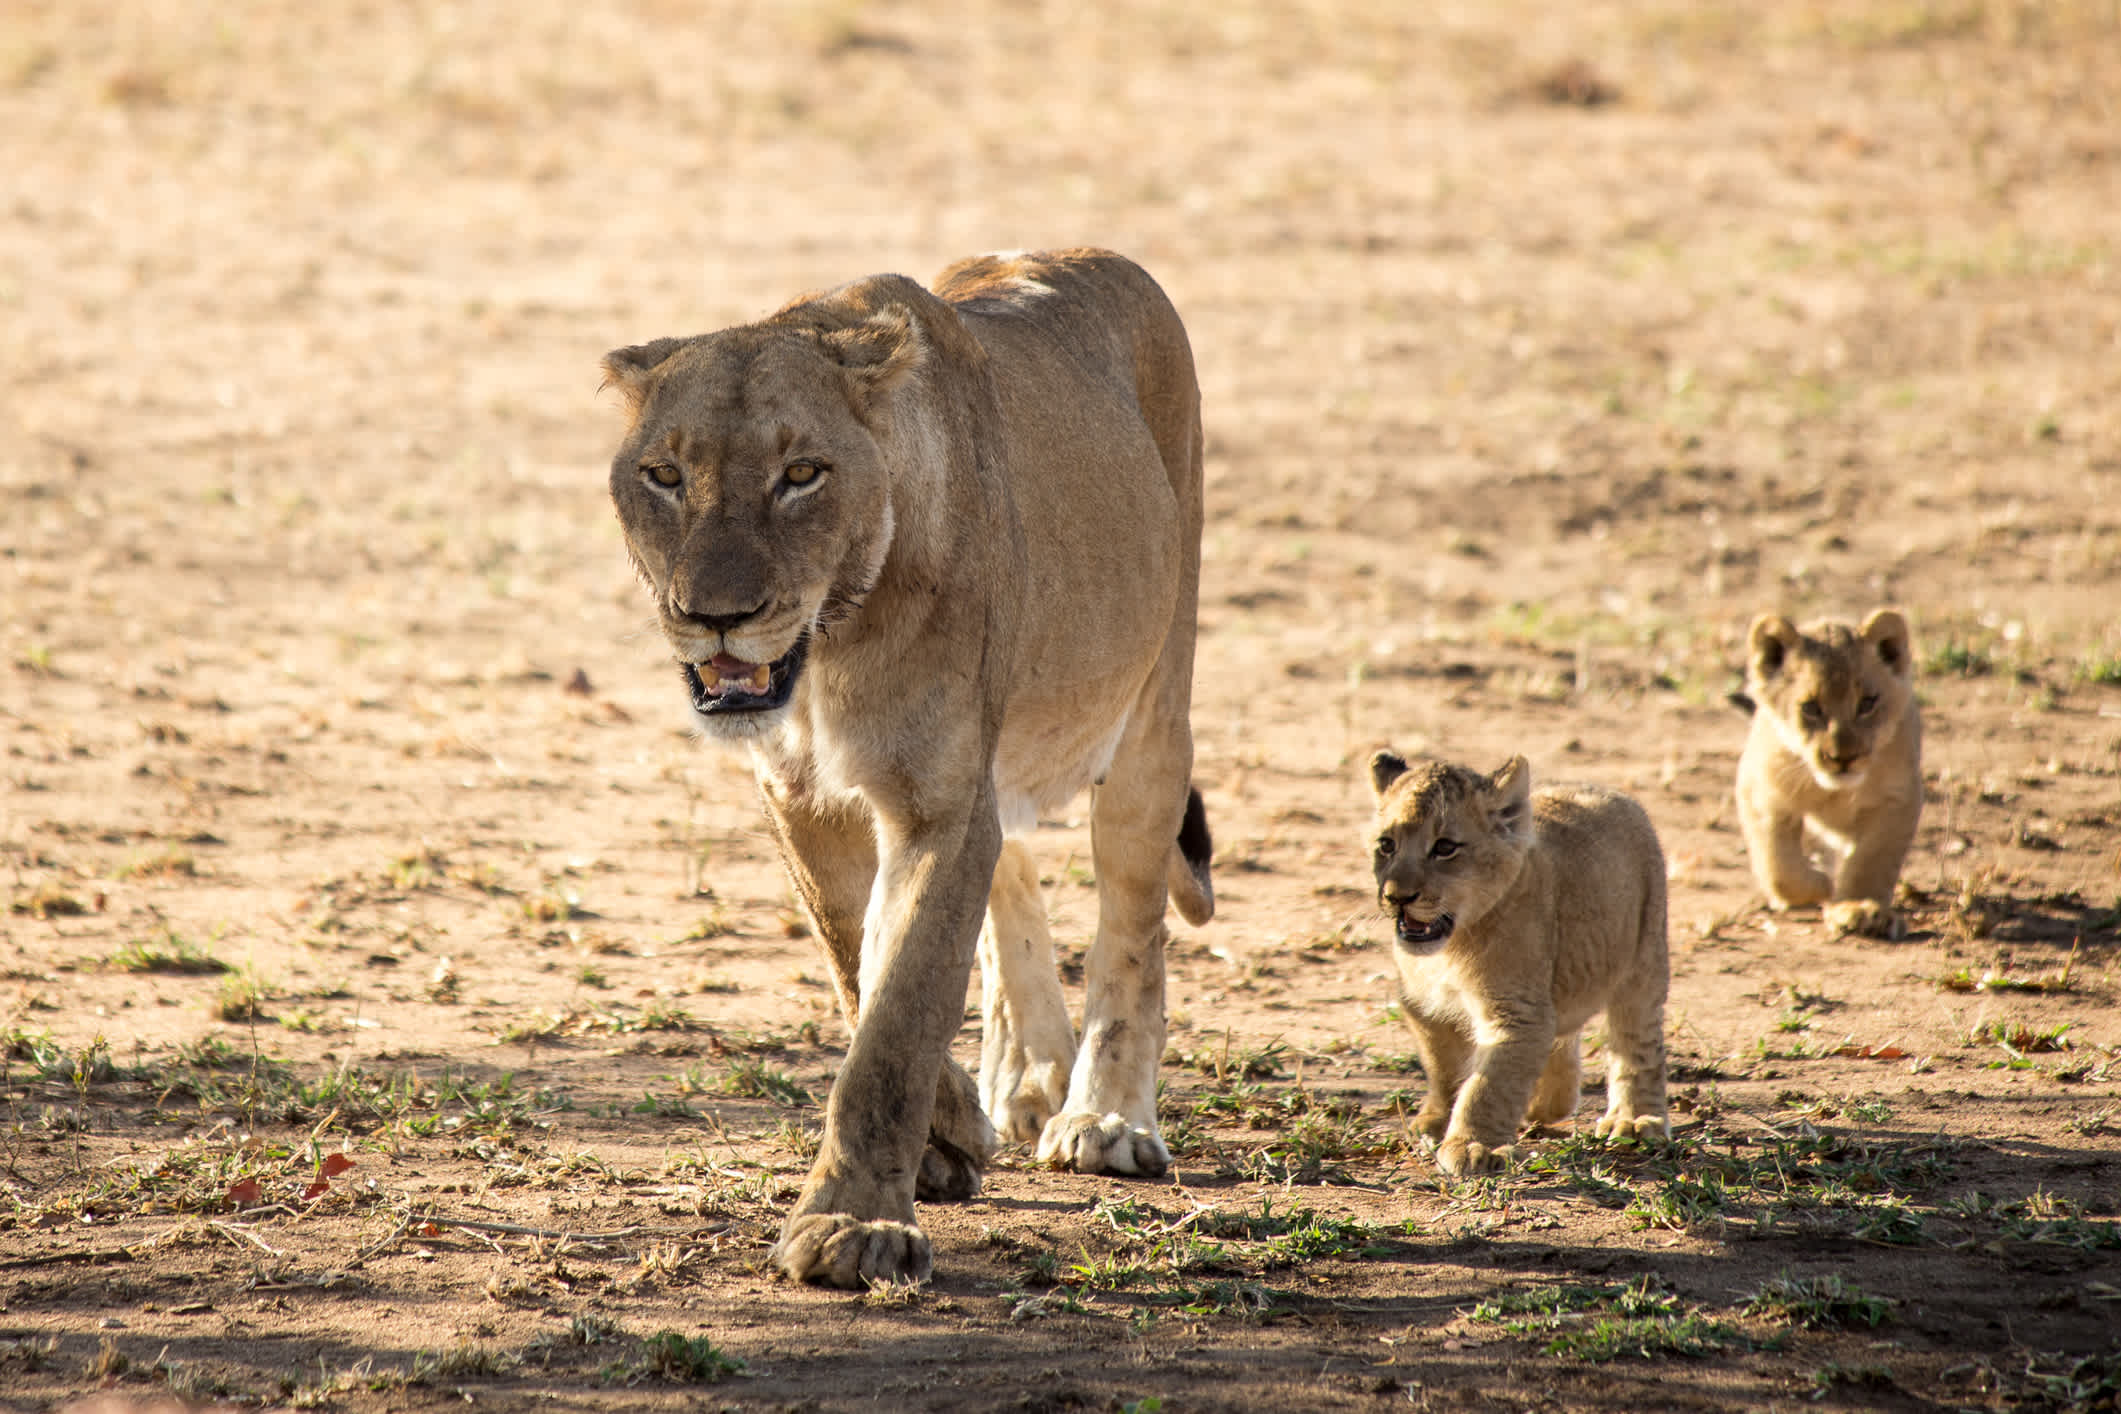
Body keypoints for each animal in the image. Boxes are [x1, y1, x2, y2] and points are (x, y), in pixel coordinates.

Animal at [606, 249, 1221, 1288]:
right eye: (663, 476)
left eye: (800, 475)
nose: (717, 616)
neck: (829, 645)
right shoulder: (802, 796)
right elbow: (860, 965)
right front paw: (948, 1138)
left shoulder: (936, 802)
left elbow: (899, 1011)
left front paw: (852, 1226)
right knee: (1013, 868)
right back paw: (1028, 1079)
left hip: (1153, 707)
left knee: (1130, 924)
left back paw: (1101, 1116)